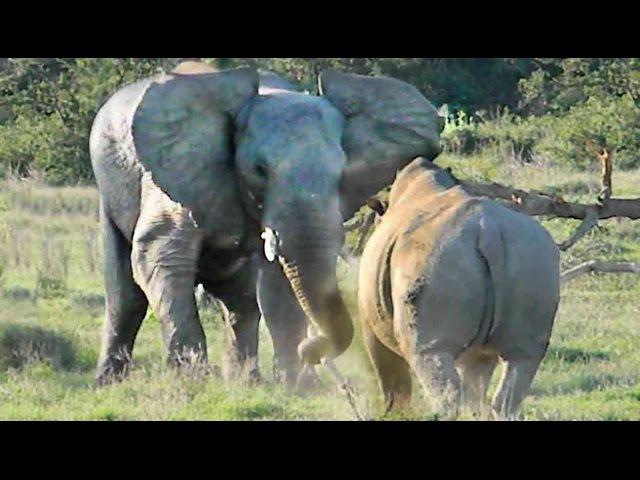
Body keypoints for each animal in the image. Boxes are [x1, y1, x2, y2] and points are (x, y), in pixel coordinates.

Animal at [87, 60, 442, 386]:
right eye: (259, 170)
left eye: (343, 172)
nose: (314, 352)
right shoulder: (178, 170)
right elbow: (161, 256)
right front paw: (192, 385)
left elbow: (279, 284)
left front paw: (295, 388)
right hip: (108, 192)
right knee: (125, 296)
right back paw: (108, 383)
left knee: (239, 300)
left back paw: (245, 382)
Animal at [358, 158, 556, 420]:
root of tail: (488, 229)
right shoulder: (477, 350)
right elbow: (475, 379)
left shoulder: (369, 321)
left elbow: (390, 379)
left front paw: (393, 414)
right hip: (533, 255)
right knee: (522, 358)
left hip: (434, 259)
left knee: (429, 354)